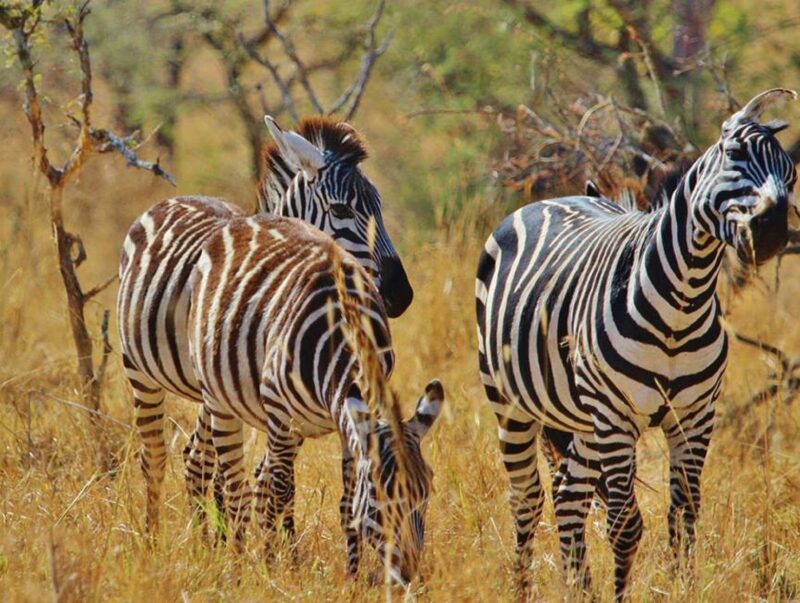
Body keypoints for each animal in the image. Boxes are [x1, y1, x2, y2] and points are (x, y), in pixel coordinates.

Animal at [117, 116, 413, 539]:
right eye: (341, 209)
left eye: (380, 208)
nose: (400, 295)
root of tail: (174, 199)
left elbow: (261, 478)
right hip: (140, 369)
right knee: (158, 457)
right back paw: (156, 538)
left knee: (196, 458)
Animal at [188, 213, 444, 584]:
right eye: (378, 497)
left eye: (425, 494)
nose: (408, 574)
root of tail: (248, 218)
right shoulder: (281, 415)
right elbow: (280, 494)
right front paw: (275, 570)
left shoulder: (347, 422)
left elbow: (346, 506)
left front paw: (353, 578)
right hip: (223, 401)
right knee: (237, 486)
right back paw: (238, 564)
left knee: (256, 481)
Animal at [475, 89, 798, 600]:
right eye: (733, 154)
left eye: (791, 174)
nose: (770, 233)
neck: (681, 303)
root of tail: (554, 198)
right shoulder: (618, 416)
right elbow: (626, 526)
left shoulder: (694, 416)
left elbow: (683, 517)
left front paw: (684, 589)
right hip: (513, 402)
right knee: (526, 498)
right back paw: (522, 588)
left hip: (584, 420)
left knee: (568, 494)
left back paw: (580, 589)